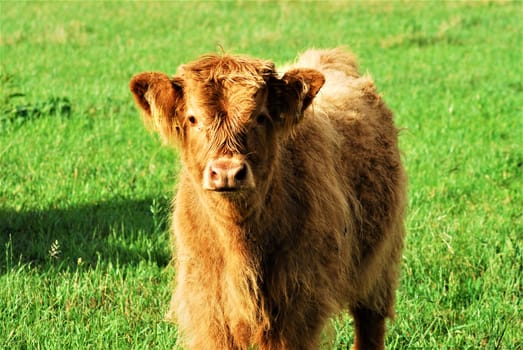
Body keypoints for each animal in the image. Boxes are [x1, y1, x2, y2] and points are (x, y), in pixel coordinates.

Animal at [129, 47, 408, 350]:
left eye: (260, 117)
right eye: (193, 118)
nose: (227, 172)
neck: (239, 245)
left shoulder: (296, 309)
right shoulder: (207, 306)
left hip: (380, 265)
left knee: (370, 320)